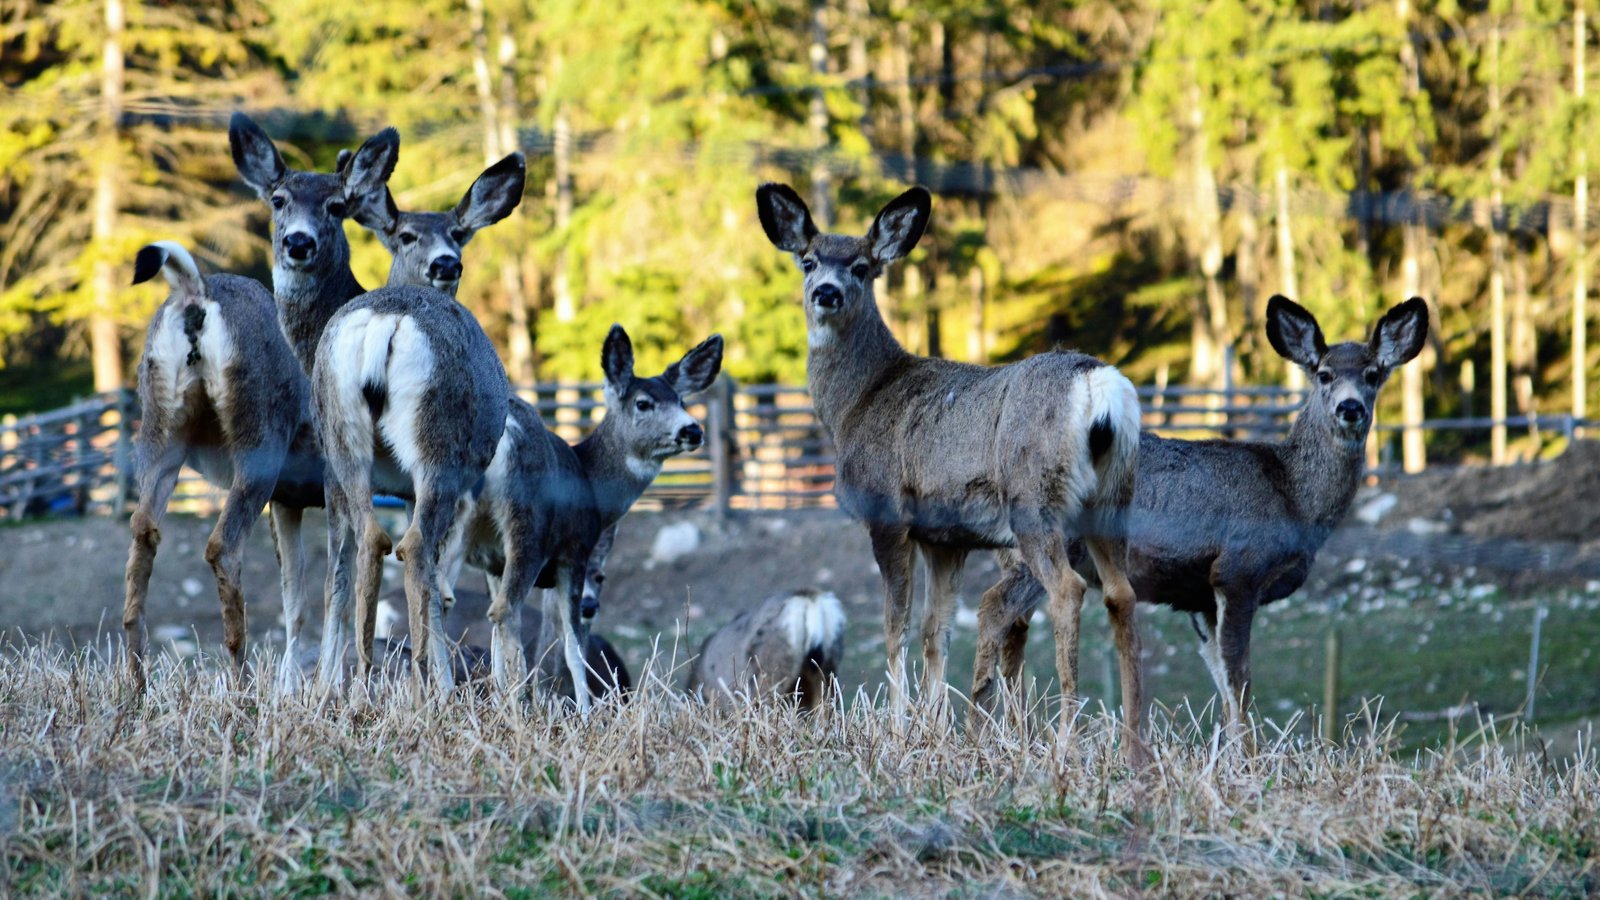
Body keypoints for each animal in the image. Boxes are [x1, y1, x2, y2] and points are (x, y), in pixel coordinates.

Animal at [120, 120, 401, 693]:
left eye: (337, 205)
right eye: (278, 199)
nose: (299, 242)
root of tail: (196, 294)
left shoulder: (291, 496)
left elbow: (297, 597)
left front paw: (294, 689)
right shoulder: (327, 478)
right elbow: (335, 586)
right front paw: (327, 687)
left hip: (159, 428)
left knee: (142, 532)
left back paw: (137, 681)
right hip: (259, 437)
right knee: (221, 546)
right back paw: (239, 678)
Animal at [756, 184, 1147, 760]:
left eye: (862, 266)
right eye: (808, 260)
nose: (826, 292)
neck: (857, 404)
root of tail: (1101, 388)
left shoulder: (888, 513)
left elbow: (894, 626)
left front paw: (898, 731)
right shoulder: (945, 537)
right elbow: (934, 630)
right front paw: (934, 731)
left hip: (1035, 499)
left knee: (1068, 589)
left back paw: (1065, 744)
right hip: (1114, 499)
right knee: (1121, 594)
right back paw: (1133, 747)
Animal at [970, 296, 1430, 740]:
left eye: (1373, 373)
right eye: (1324, 374)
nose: (1350, 407)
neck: (1293, 497)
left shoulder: (1201, 598)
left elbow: (1224, 687)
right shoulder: (1238, 569)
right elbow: (1241, 682)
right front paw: (1248, 756)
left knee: (1015, 625)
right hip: (1053, 538)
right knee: (995, 605)